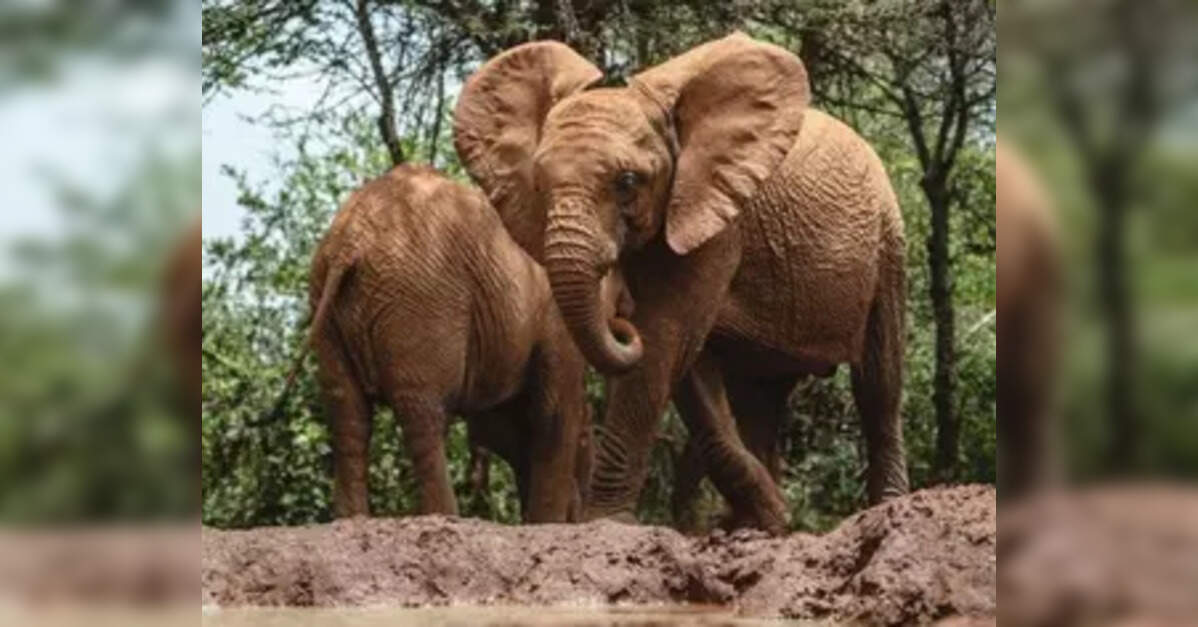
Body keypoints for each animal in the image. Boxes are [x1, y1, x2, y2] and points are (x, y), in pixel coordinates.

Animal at [296, 164, 592, 522]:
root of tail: (349, 244)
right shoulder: (553, 314)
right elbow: (553, 413)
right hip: (419, 298)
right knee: (424, 414)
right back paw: (446, 516)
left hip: (329, 305)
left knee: (348, 412)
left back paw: (352, 519)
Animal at [454, 33, 909, 532]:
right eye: (537, 183)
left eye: (627, 181)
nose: (620, 322)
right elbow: (690, 366)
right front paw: (765, 516)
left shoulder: (714, 217)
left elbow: (666, 338)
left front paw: (609, 522)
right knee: (759, 397)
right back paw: (763, 525)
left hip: (887, 242)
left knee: (879, 384)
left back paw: (886, 508)